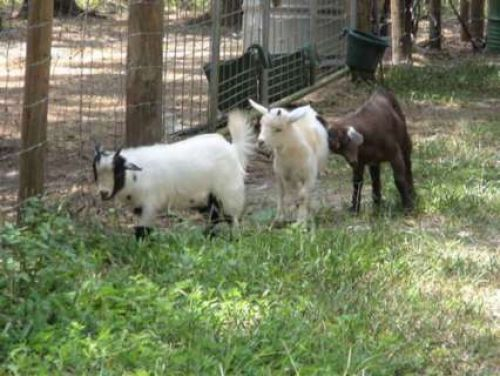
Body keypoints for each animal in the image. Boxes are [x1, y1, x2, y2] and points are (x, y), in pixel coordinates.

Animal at [94, 110, 256, 238]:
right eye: (95, 172)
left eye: (117, 172)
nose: (103, 192)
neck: (135, 177)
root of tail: (233, 148)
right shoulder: (139, 207)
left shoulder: (150, 204)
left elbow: (142, 231)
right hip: (211, 196)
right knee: (214, 217)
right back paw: (208, 236)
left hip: (229, 193)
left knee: (231, 219)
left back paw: (233, 239)